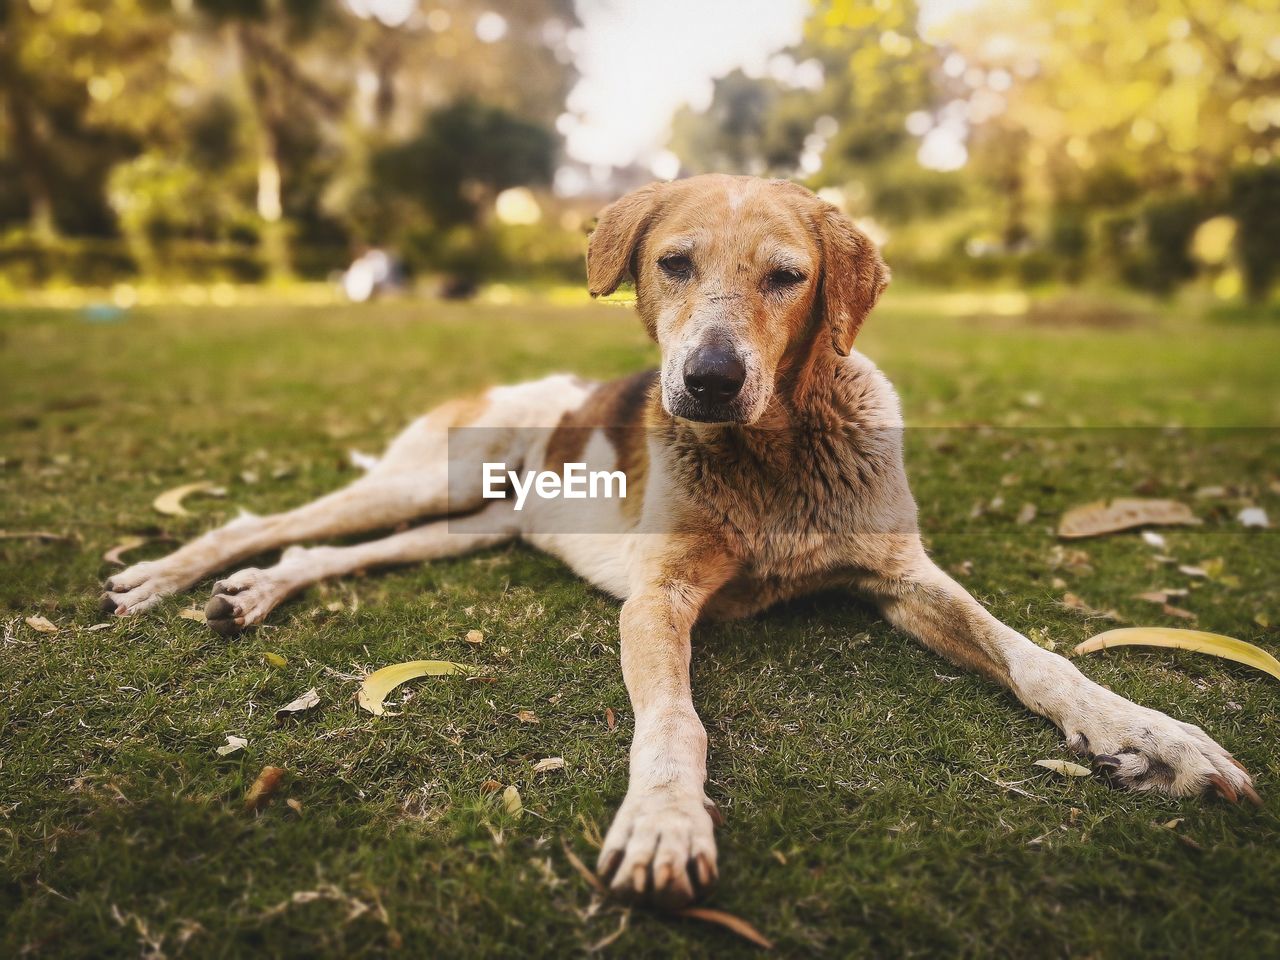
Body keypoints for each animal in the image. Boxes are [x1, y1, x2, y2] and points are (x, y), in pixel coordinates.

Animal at [99, 175, 1259, 911]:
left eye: (787, 276)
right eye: (672, 263)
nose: (705, 381)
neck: (777, 460)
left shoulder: (903, 578)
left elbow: (1038, 658)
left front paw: (1151, 736)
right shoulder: (657, 600)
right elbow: (673, 724)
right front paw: (665, 822)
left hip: (459, 530)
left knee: (323, 557)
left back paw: (252, 595)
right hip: (428, 479)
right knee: (268, 523)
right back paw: (165, 576)